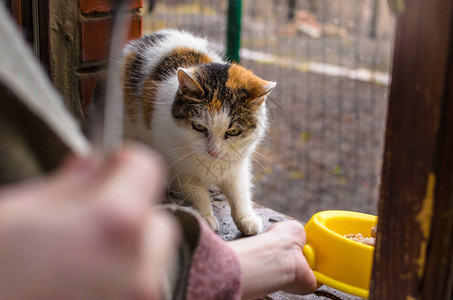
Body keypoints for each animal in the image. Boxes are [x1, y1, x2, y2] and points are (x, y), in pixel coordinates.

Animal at [121, 29, 276, 236]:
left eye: (234, 131)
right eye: (199, 127)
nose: (213, 152)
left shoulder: (237, 164)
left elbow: (239, 190)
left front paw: (246, 218)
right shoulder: (179, 167)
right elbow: (197, 192)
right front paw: (205, 218)